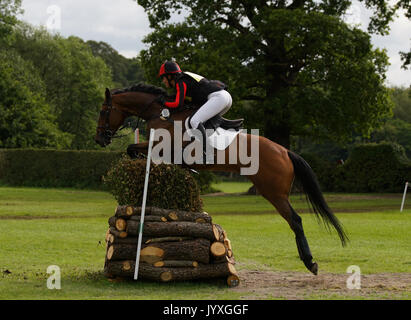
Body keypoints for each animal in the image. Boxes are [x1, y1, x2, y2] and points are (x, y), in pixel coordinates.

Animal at [95, 83, 350, 276]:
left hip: (273, 192)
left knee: (295, 220)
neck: (160, 113)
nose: (100, 140)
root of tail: (285, 151)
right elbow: (132, 149)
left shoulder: (165, 148)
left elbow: (134, 148)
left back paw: (310, 262)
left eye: (103, 111)